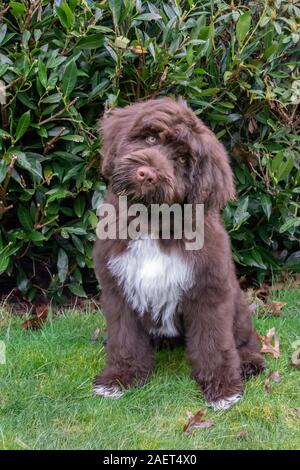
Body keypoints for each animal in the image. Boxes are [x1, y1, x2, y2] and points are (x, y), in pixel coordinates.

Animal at [92, 97, 264, 410]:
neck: (152, 220)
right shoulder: (118, 288)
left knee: (243, 338)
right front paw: (120, 377)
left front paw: (222, 389)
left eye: (183, 160)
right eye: (150, 138)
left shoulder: (209, 289)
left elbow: (213, 342)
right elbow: (124, 337)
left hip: (237, 305)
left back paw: (248, 363)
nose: (147, 174)